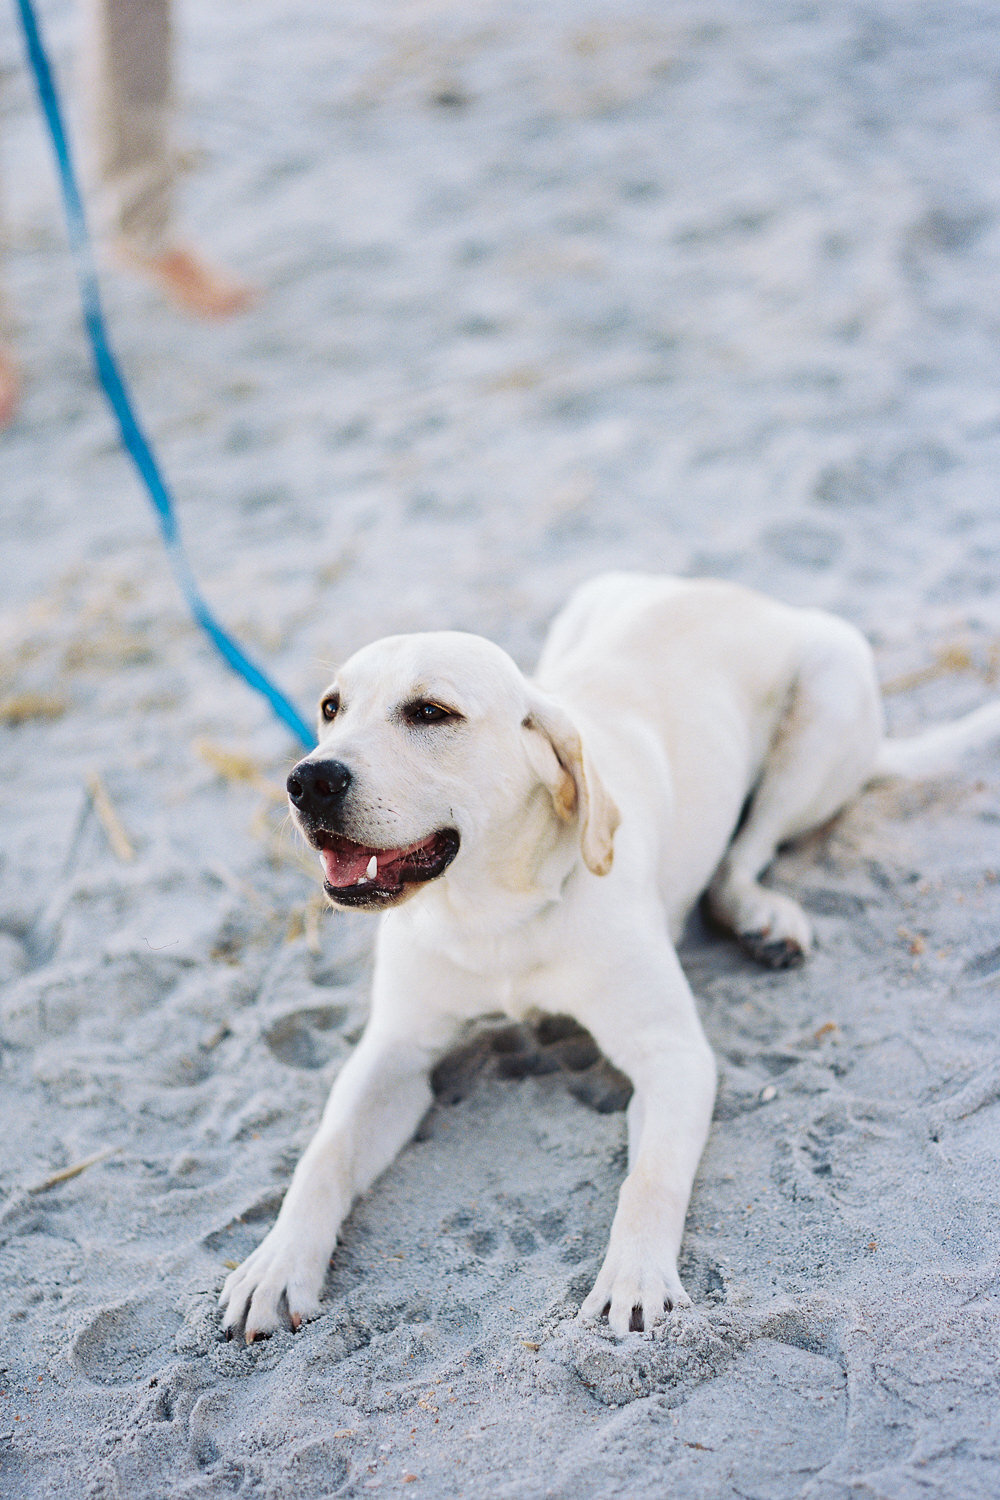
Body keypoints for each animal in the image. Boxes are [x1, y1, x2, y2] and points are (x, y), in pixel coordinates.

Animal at [220, 570, 1000, 1338]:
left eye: (431, 712)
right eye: (331, 707)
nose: (308, 780)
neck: (496, 913)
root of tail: (728, 588)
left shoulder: (674, 1055)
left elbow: (650, 1177)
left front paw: (636, 1277)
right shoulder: (393, 1055)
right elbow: (323, 1155)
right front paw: (276, 1263)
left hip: (824, 715)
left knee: (745, 854)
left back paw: (762, 915)